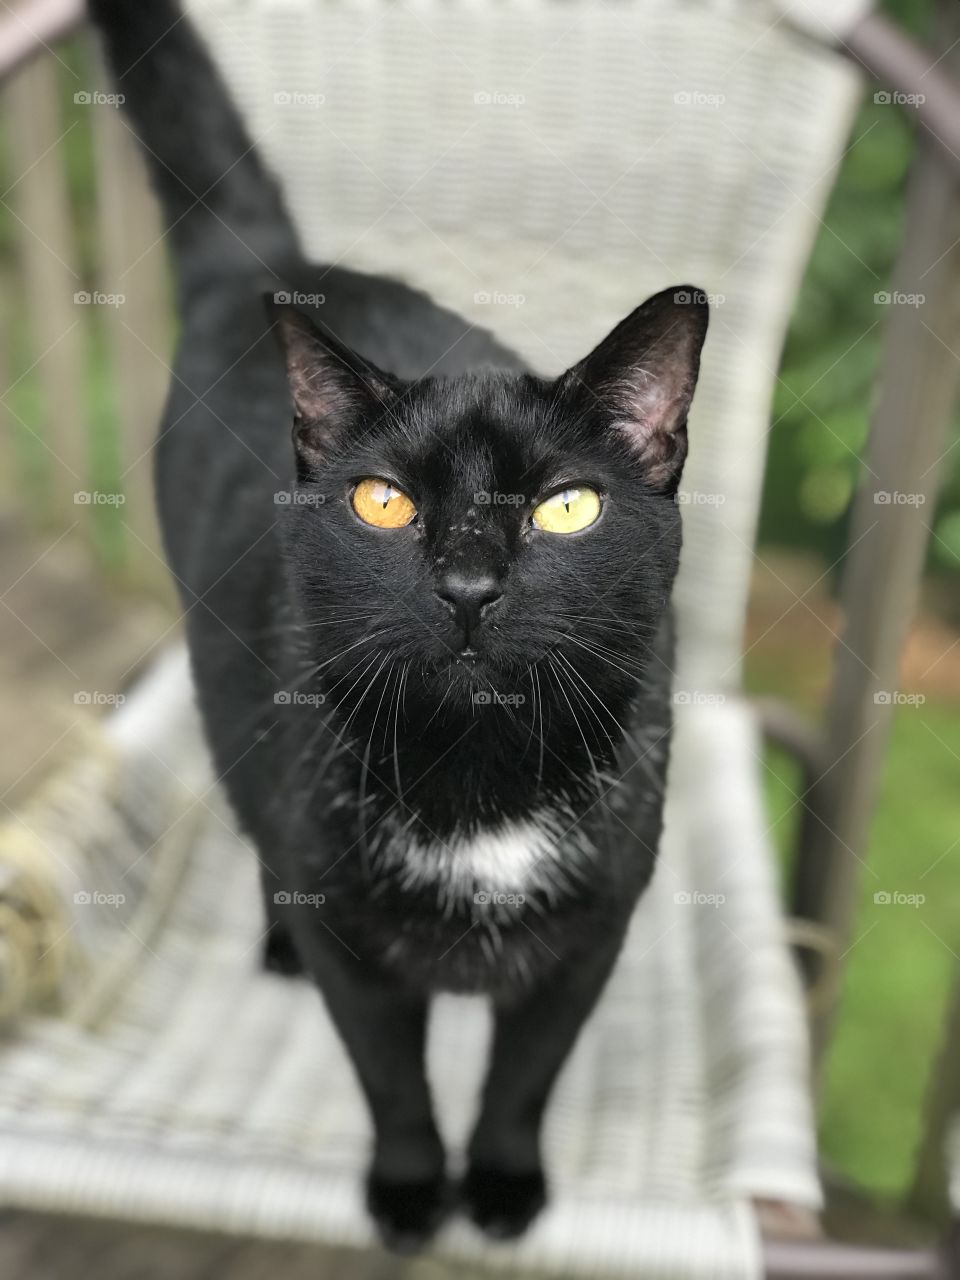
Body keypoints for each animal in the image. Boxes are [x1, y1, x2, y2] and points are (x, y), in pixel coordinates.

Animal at [90, 0, 706, 1249]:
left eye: (566, 505)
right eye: (385, 502)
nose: (468, 583)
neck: (480, 782)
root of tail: (277, 268)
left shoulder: (590, 940)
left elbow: (523, 1075)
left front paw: (505, 1184)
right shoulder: (361, 964)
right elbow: (394, 1079)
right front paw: (414, 1192)